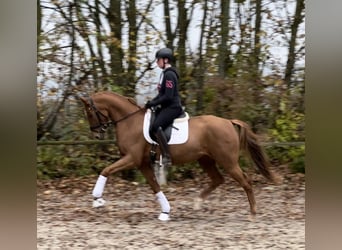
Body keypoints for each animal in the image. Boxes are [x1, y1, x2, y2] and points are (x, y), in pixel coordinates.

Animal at [81, 91, 280, 221]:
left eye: (89, 112)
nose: (96, 134)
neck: (130, 121)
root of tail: (229, 122)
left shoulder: (132, 159)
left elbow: (106, 170)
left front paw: (97, 199)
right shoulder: (142, 163)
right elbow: (155, 186)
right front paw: (165, 212)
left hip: (228, 161)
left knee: (245, 181)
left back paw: (253, 213)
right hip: (205, 159)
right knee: (218, 179)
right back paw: (198, 203)